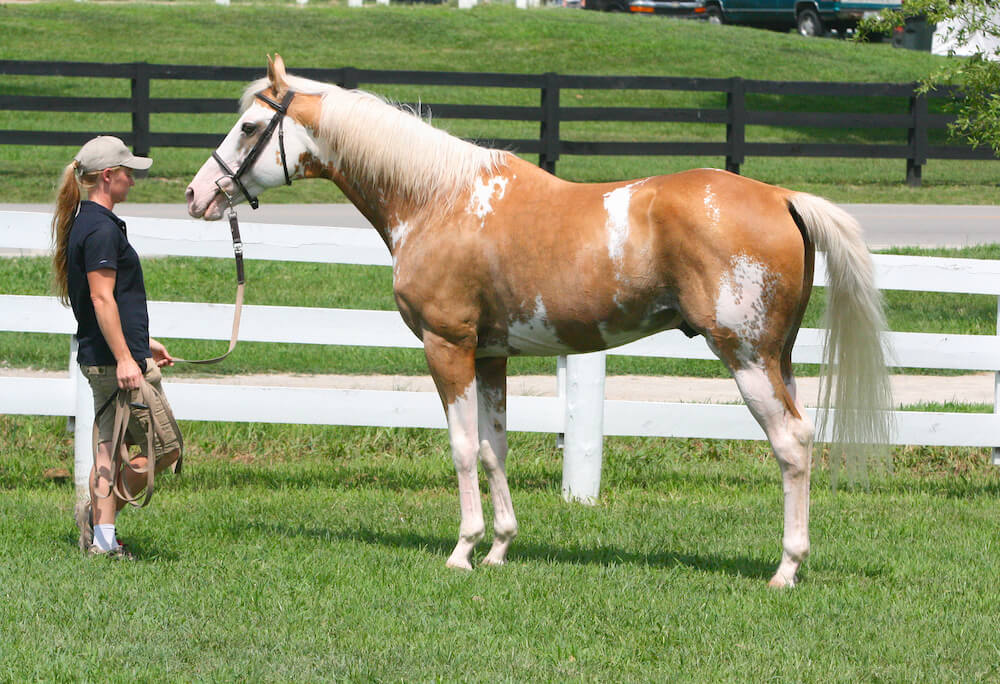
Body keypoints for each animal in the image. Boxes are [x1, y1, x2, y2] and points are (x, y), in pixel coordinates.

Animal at [186, 54, 892, 588]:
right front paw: (499, 547)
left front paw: (462, 551)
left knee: (791, 445)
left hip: (745, 358)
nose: (197, 196)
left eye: (249, 126)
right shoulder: (491, 354)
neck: (437, 199)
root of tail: (781, 196)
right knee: (799, 440)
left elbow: (462, 447)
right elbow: (494, 448)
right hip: (780, 360)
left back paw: (785, 569)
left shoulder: (448, 347)